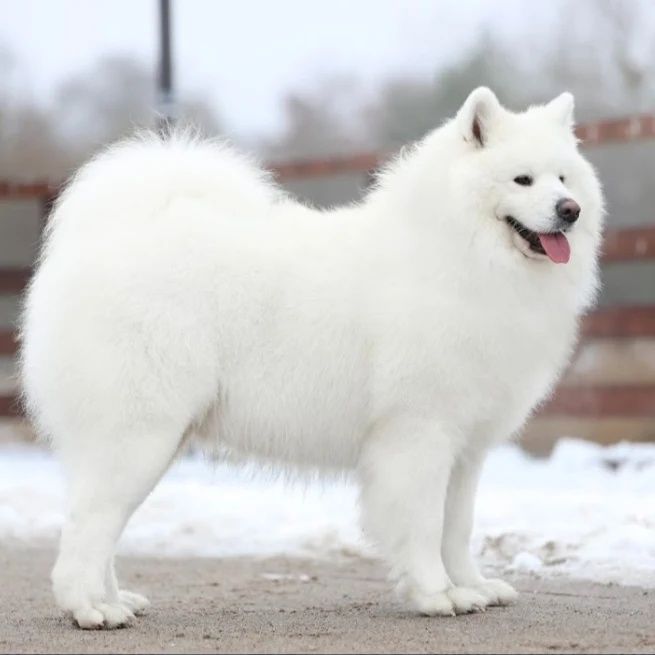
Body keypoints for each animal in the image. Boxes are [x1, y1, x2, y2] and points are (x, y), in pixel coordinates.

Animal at [20, 86, 604, 624]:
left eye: (563, 179)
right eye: (522, 180)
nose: (569, 211)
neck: (459, 255)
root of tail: (101, 243)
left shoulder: (465, 448)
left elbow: (456, 528)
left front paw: (472, 587)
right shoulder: (418, 435)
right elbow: (422, 526)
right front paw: (436, 595)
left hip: (152, 439)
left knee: (100, 524)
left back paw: (115, 600)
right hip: (140, 433)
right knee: (88, 526)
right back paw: (90, 610)